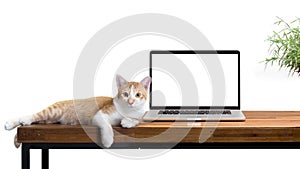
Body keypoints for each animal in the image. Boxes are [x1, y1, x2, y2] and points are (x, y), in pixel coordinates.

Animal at [5, 75, 152, 148]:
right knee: (34, 115)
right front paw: (107, 140)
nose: (131, 102)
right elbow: (107, 126)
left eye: (138, 95)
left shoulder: (140, 115)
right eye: (126, 94)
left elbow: (137, 119)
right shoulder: (99, 115)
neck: (126, 110)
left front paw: (128, 122)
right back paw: (16, 121)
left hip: (50, 119)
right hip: (54, 111)